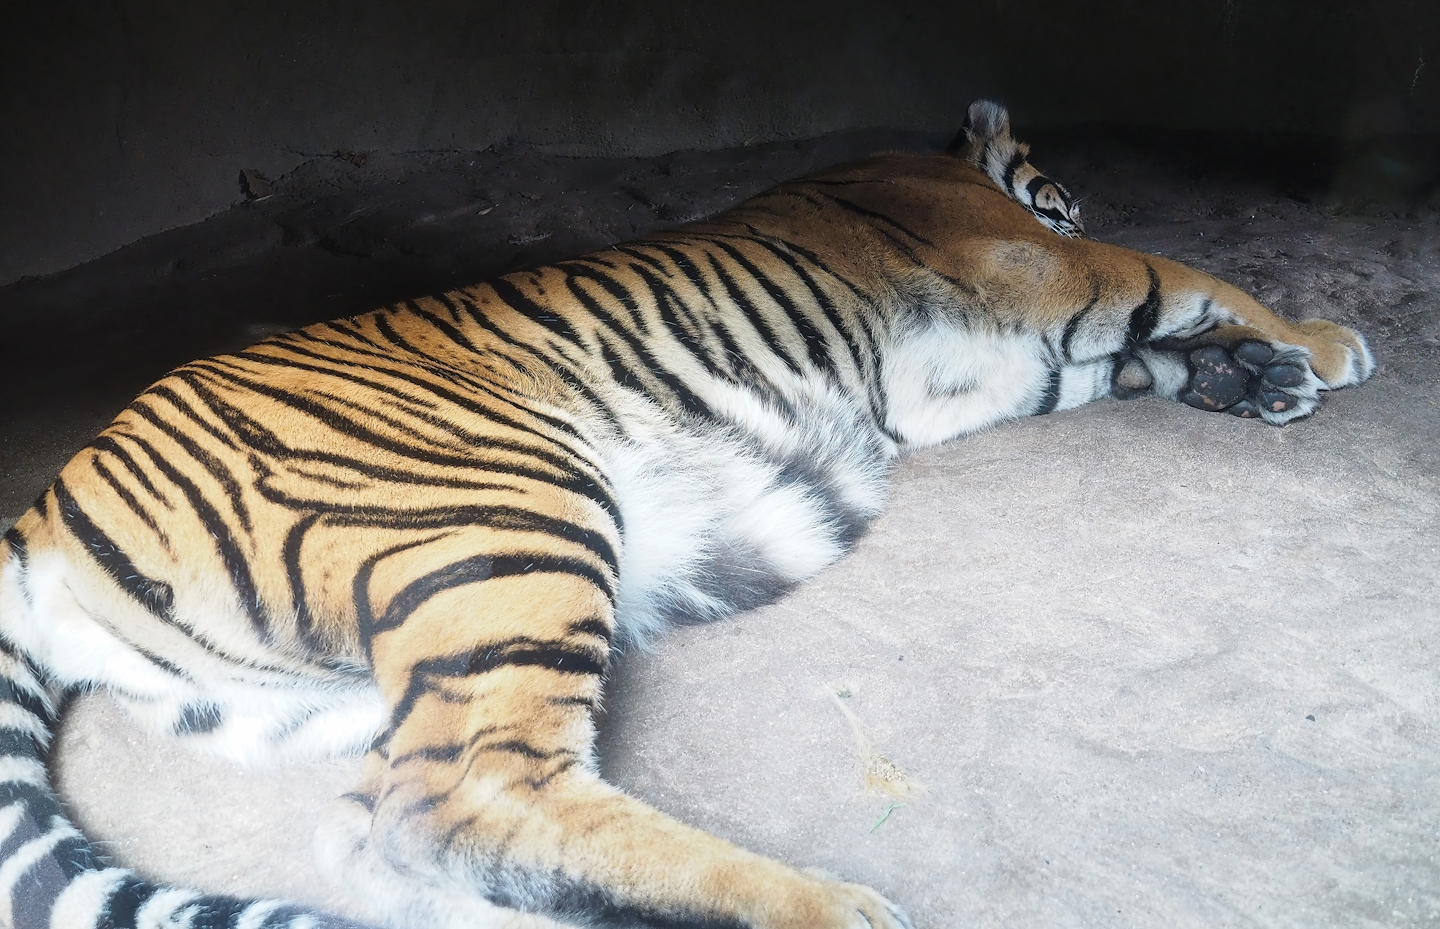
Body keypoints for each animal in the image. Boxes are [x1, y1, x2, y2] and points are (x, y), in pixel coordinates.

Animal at [0, 100, 1372, 929]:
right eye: (1069, 195)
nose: (1073, 200)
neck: (936, 167)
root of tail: (49, 504)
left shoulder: (985, 376)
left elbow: (1134, 357)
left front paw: (1258, 377)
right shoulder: (1048, 267)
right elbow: (1188, 280)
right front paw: (1322, 345)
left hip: (319, 697)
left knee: (380, 836)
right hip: (506, 520)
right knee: (465, 798)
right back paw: (830, 907)